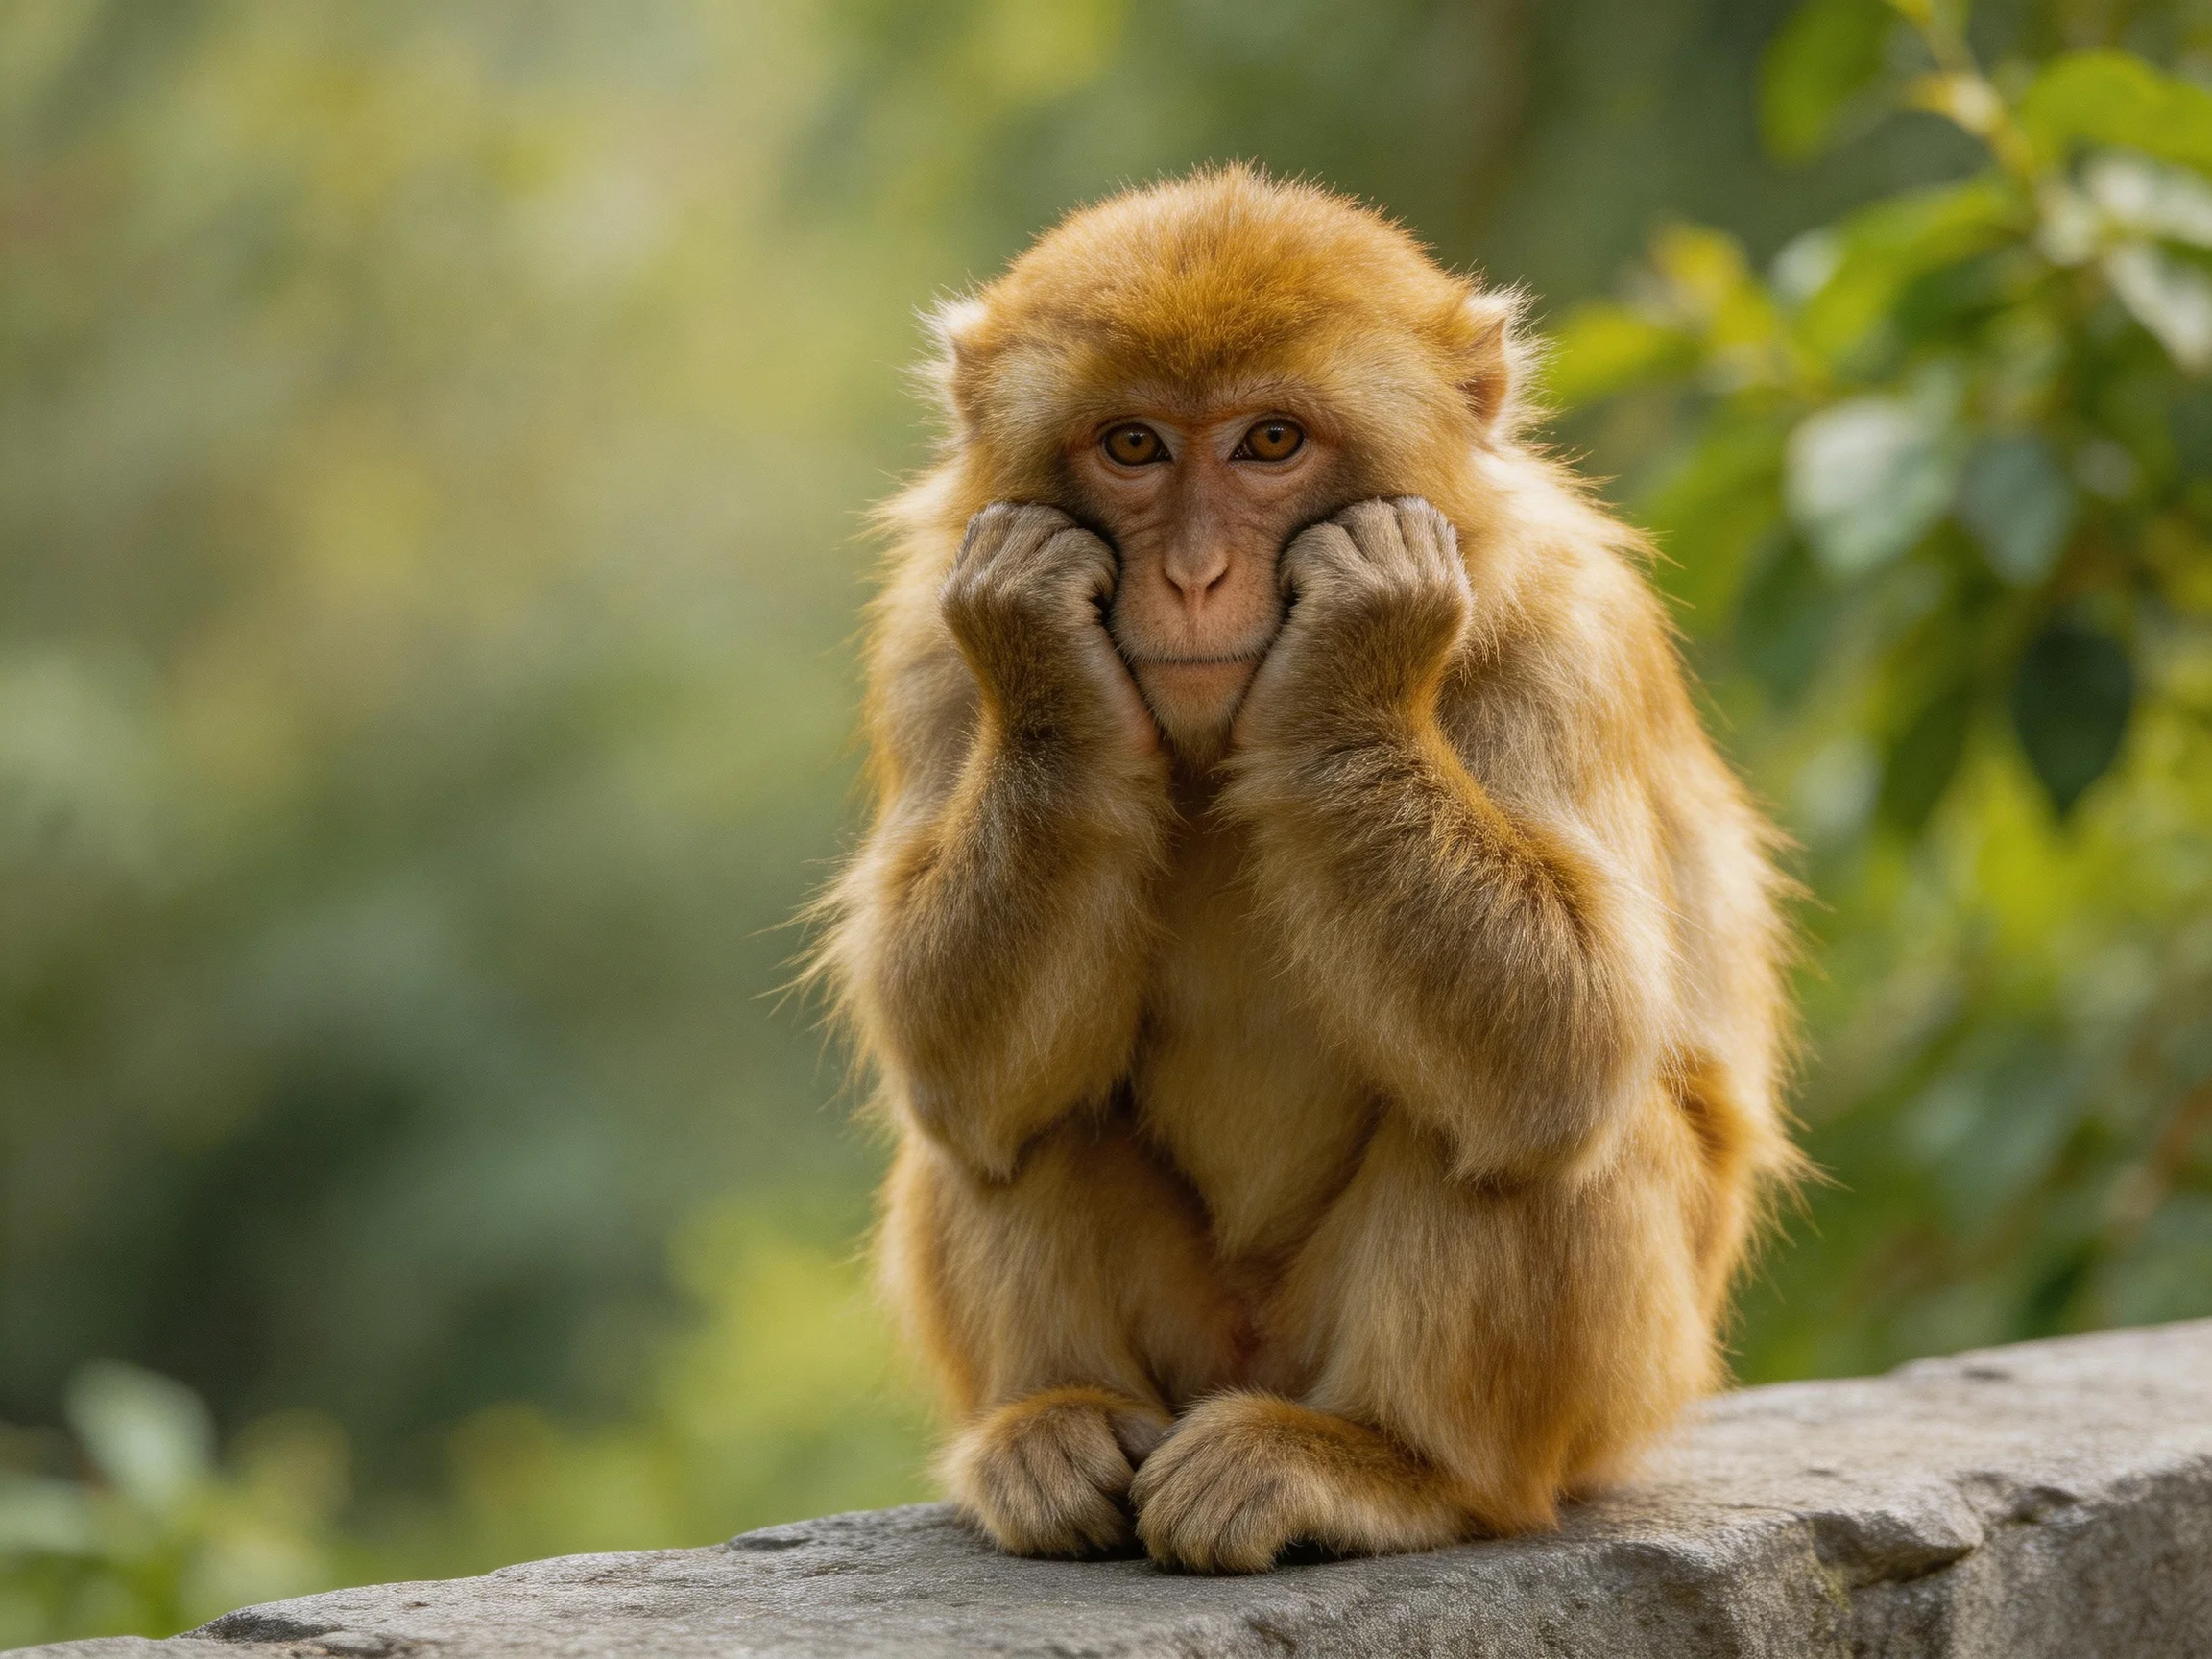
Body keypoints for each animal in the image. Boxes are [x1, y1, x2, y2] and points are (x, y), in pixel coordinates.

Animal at [815, 165, 1796, 1574]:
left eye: (1270, 443)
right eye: (1134, 447)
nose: (1194, 574)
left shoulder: (1565, 638)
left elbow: (1578, 1041)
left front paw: (1356, 654)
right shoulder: (926, 651)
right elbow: (951, 1065)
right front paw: (1045, 663)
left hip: (1623, 1387)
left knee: (1521, 1126)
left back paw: (1392, 1469)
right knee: (1010, 1118)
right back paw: (1058, 1425)